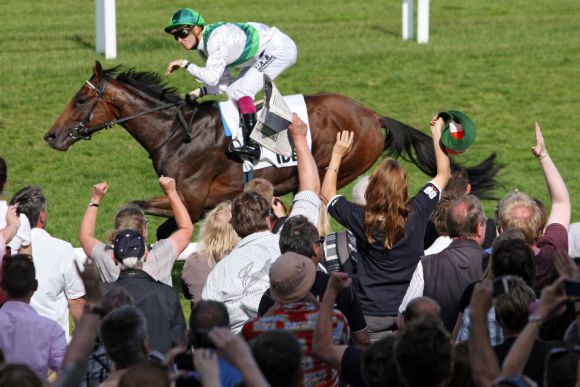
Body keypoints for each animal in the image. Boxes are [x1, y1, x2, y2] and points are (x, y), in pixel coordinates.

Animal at [44, 62, 498, 235]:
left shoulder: (190, 199)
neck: (176, 132)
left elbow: (154, 216)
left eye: (80, 101)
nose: (51, 136)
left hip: (335, 166)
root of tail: (372, 114)